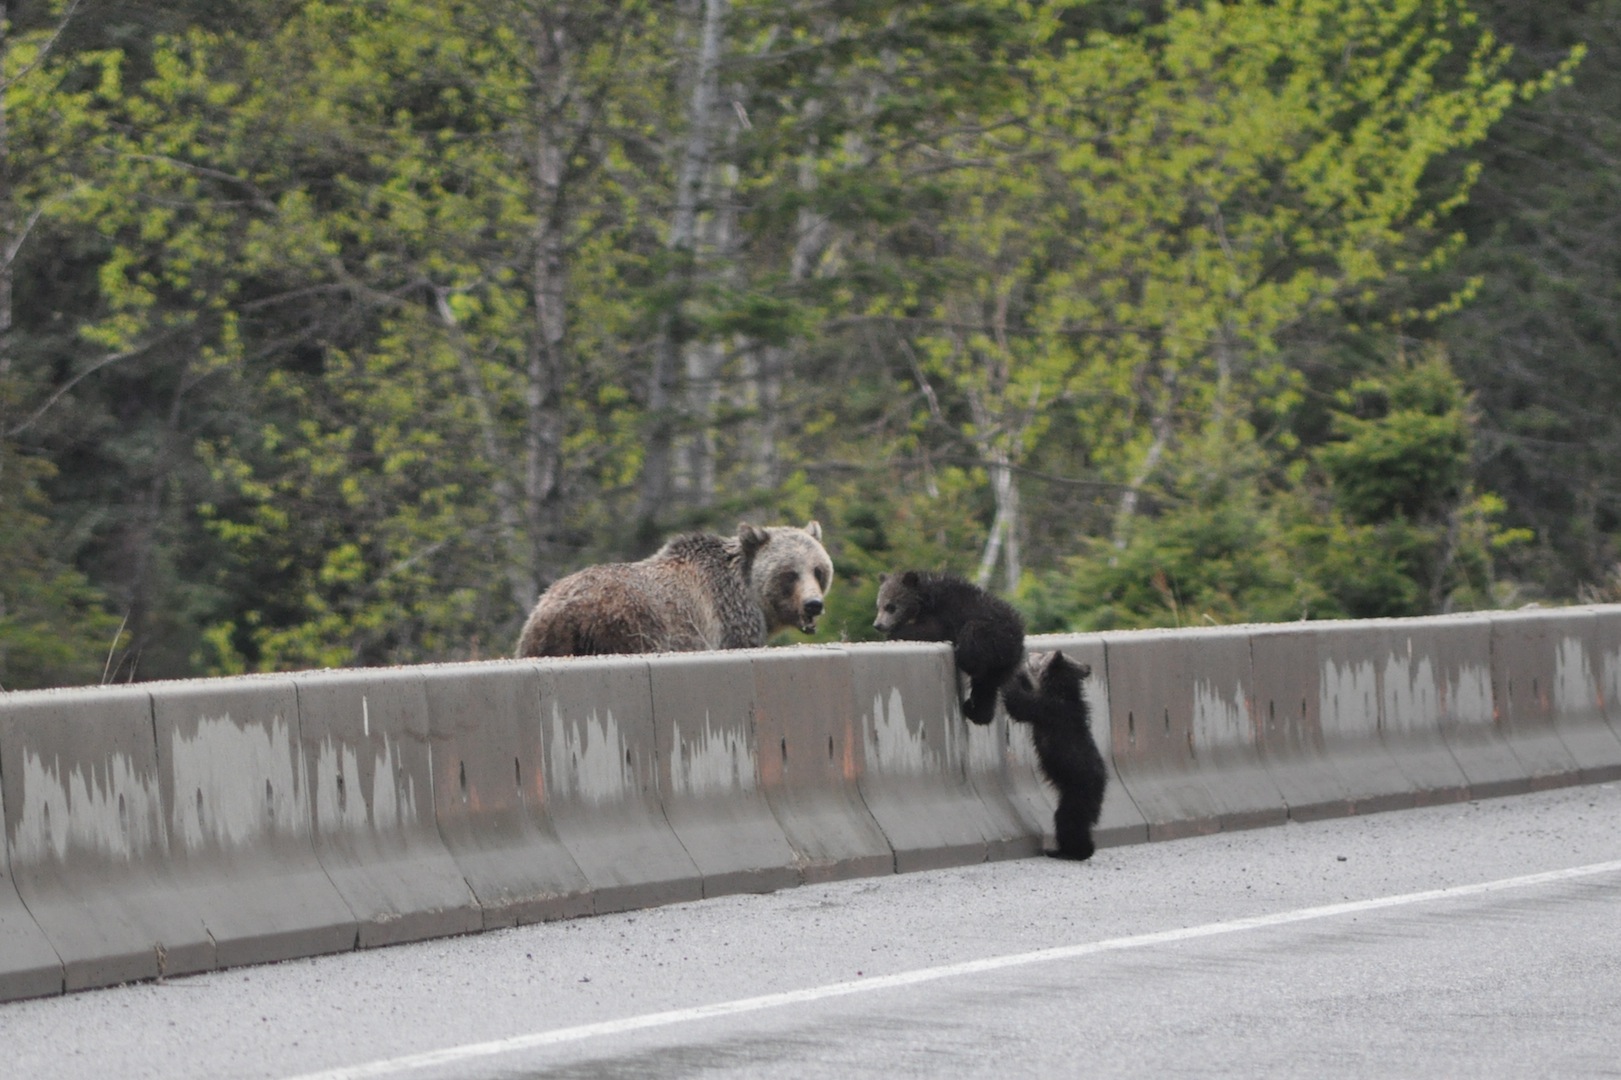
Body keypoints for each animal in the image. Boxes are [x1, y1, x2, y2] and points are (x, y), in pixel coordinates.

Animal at [514, 521, 833, 657]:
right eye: (789, 573)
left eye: (818, 570)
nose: (813, 604)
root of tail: (560, 612)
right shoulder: (729, 621)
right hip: (629, 625)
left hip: (538, 638)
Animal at [871, 570, 1025, 725]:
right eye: (879, 606)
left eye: (890, 607)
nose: (878, 625)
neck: (924, 600)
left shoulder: (945, 613)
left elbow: (931, 630)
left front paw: (895, 632)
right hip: (1003, 665)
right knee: (987, 686)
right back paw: (976, 711)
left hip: (993, 633)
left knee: (972, 638)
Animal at [1001, 650, 1109, 861]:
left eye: (1042, 655)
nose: (1031, 652)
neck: (1060, 689)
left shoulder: (1047, 709)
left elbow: (1019, 705)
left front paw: (1011, 677)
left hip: (1076, 795)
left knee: (1067, 821)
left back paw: (1067, 851)